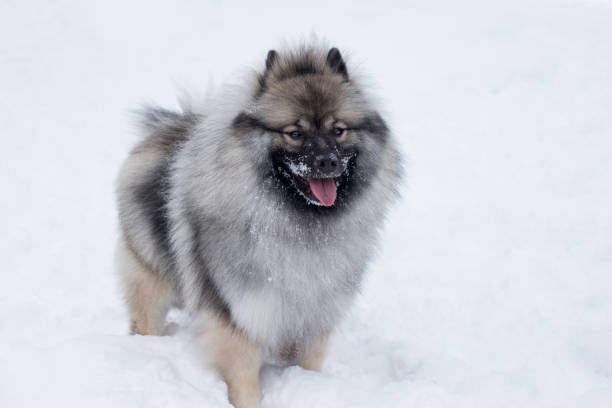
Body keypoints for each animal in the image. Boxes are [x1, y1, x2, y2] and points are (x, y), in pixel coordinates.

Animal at [115, 44, 402, 408]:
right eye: (295, 133)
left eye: (338, 130)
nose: (327, 162)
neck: (300, 228)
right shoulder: (240, 314)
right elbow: (243, 378)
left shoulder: (313, 320)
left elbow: (307, 365)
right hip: (150, 280)